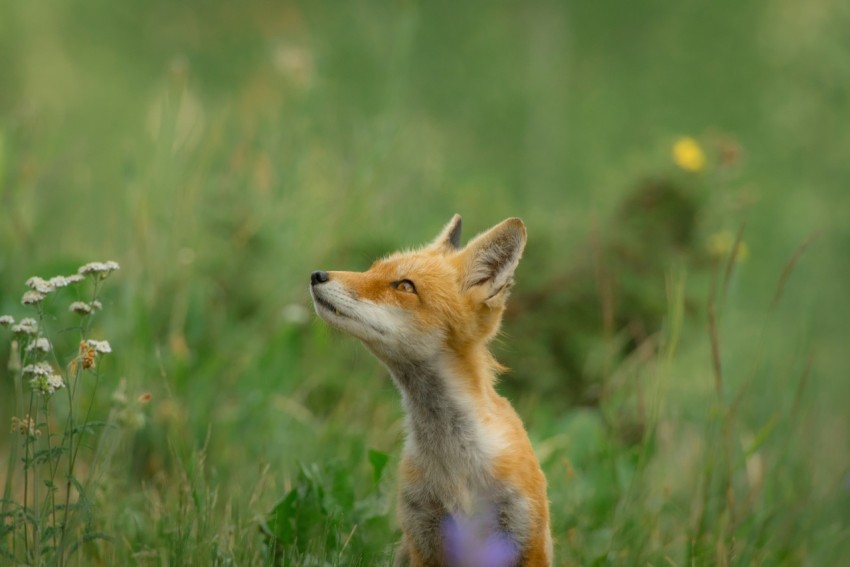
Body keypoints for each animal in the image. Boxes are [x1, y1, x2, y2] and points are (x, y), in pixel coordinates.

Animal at [309, 214, 552, 566]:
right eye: (372, 269)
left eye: (404, 286)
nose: (317, 275)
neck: (454, 466)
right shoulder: (423, 536)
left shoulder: (525, 538)